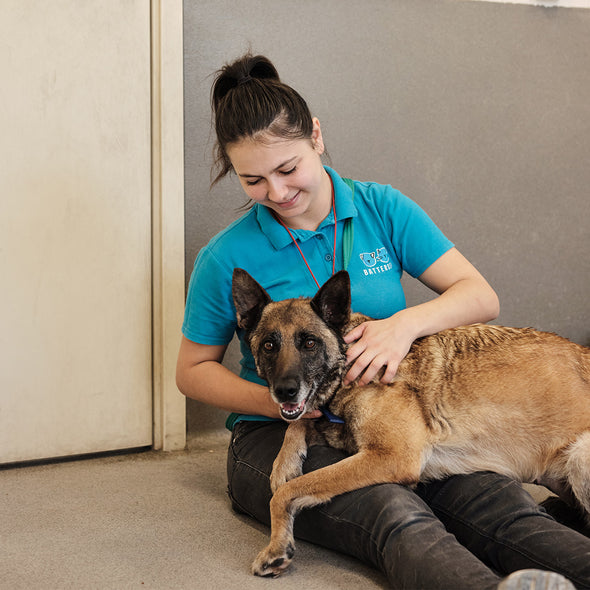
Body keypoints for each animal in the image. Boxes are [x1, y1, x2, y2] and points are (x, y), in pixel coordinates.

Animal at [231, 268, 590, 580]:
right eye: (269, 345)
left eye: (309, 343)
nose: (284, 391)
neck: (349, 364)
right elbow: (297, 431)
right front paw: (284, 464)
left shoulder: (391, 457)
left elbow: (287, 492)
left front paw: (276, 546)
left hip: (580, 458)